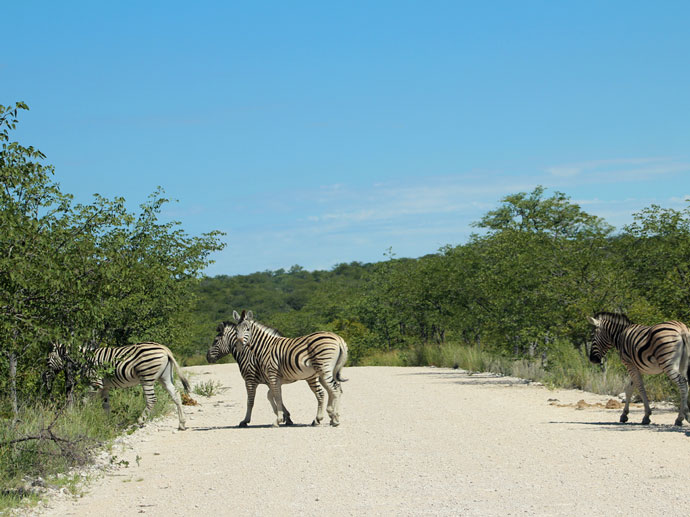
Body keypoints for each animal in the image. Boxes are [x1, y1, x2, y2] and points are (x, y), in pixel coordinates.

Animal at [44, 340, 189, 430]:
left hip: (147, 376)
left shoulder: (95, 382)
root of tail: (164, 349)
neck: (85, 359)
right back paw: (182, 424)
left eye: (47, 359)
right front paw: (108, 422)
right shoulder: (105, 387)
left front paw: (82, 417)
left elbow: (85, 401)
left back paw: (140, 421)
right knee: (176, 395)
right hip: (164, 377)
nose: (45, 377)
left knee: (152, 399)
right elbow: (106, 405)